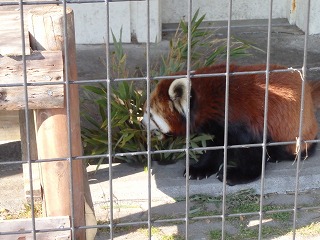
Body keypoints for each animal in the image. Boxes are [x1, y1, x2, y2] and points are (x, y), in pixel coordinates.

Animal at [142, 64, 320, 186]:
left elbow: (251, 151)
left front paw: (235, 174)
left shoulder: (243, 121)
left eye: (150, 115)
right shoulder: (218, 127)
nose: (142, 124)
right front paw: (200, 169)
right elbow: (216, 148)